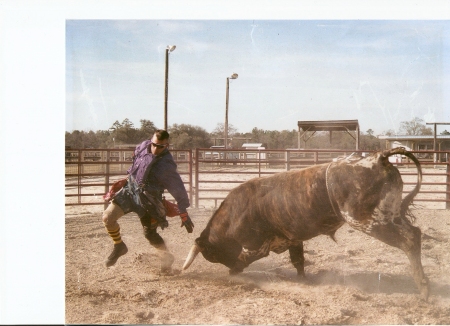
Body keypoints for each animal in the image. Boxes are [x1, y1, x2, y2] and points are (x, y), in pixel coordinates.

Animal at [183, 148, 428, 300]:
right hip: (390, 215)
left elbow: (239, 264)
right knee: (415, 234)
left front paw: (232, 275)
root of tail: (378, 158)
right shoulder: (293, 240)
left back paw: (423, 286)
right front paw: (303, 281)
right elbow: (298, 261)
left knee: (409, 240)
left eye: (212, 254)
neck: (235, 212)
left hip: (368, 221)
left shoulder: (255, 248)